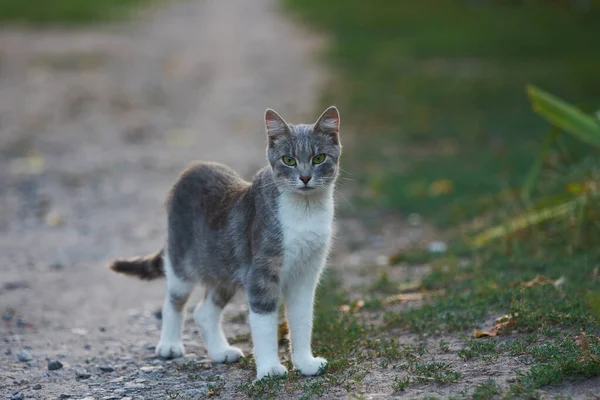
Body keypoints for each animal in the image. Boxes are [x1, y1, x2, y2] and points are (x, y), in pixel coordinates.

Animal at [109, 105, 340, 378]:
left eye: (319, 158)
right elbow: (264, 323)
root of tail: (192, 169)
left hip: (223, 268)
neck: (305, 211)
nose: (305, 178)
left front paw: (305, 363)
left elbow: (303, 320)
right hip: (182, 263)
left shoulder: (305, 275)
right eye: (289, 160)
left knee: (203, 312)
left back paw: (221, 352)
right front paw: (270, 369)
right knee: (174, 301)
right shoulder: (260, 273)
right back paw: (169, 345)